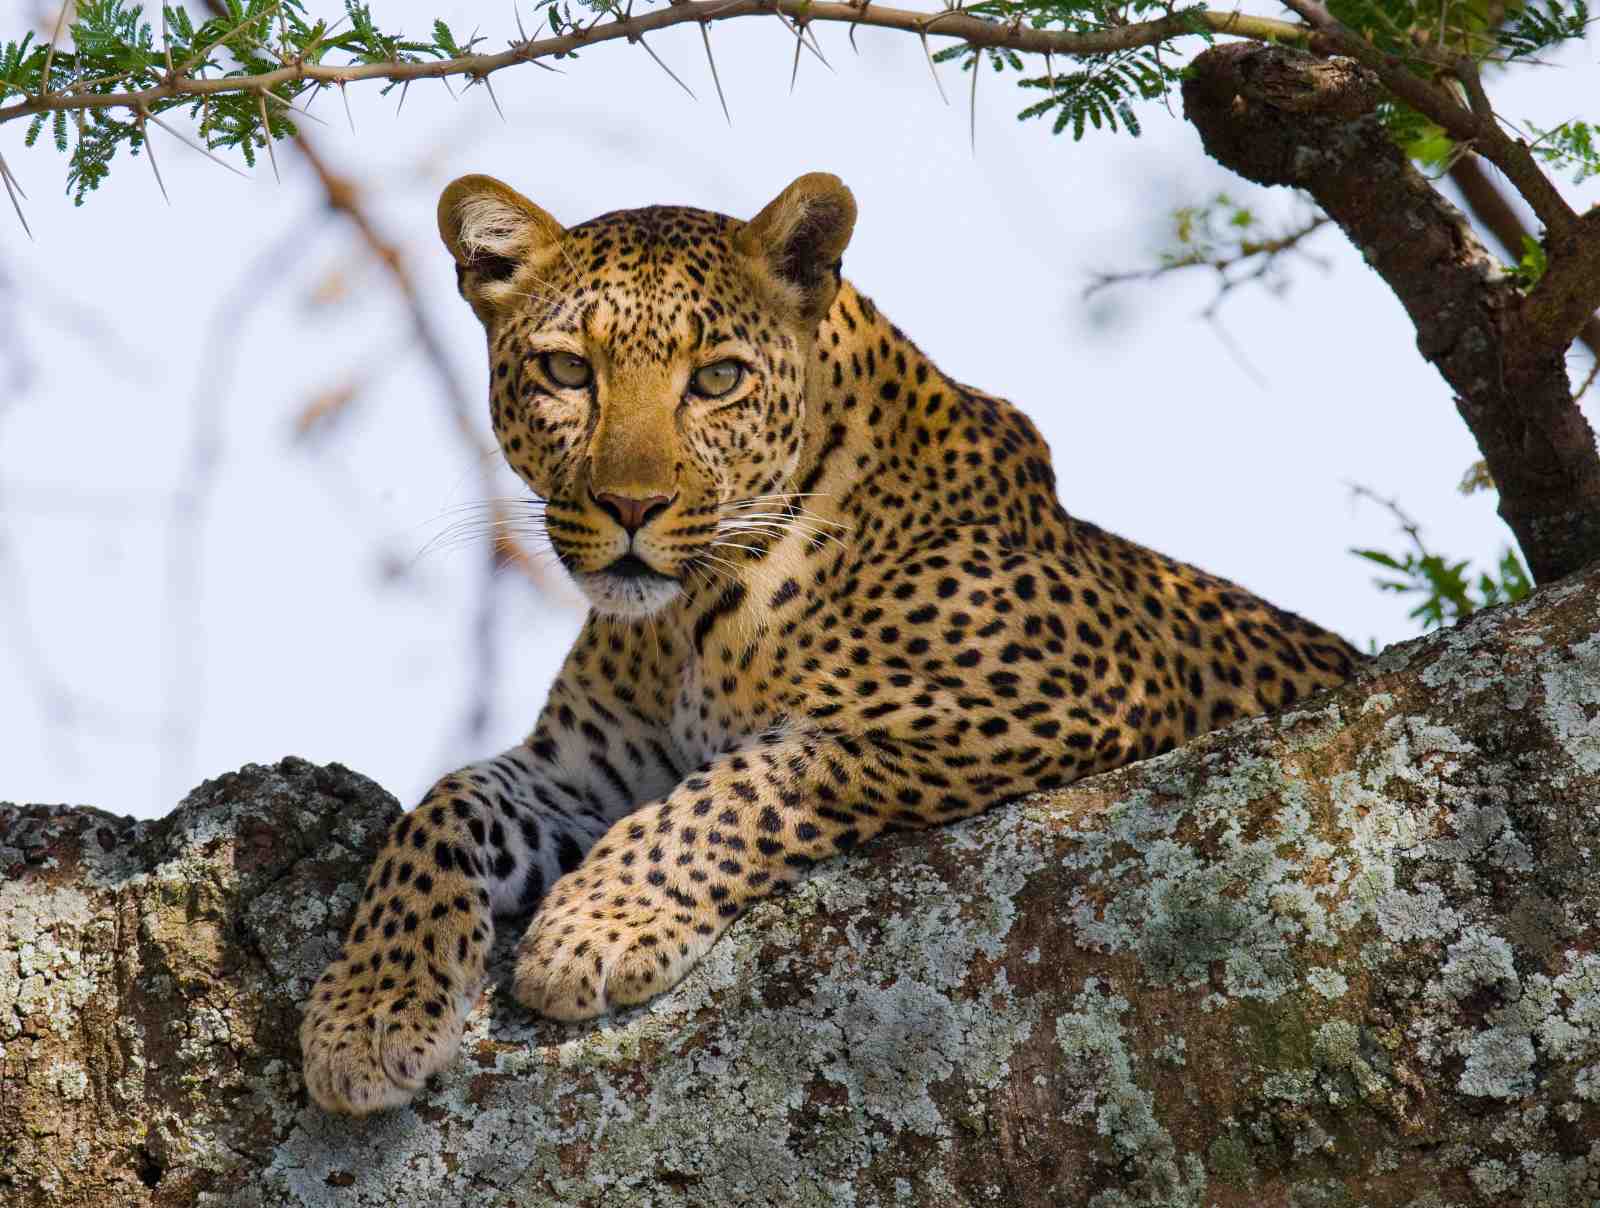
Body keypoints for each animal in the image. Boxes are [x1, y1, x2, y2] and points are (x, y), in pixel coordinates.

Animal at [299, 171, 1365, 1115]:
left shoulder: (1064, 696)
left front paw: (593, 926)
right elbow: (444, 809)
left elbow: (756, 775)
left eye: (717, 379)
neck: (687, 625)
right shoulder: (584, 775)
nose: (631, 507)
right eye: (568, 370)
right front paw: (368, 1012)